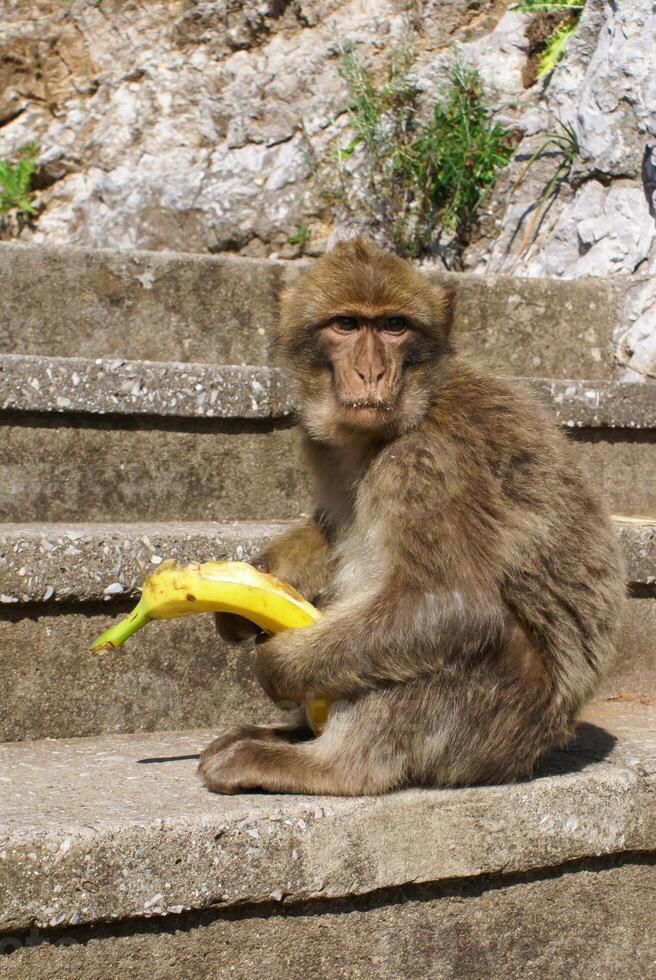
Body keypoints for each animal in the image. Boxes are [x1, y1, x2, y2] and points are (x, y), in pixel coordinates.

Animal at [199, 235, 624, 796]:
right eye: (347, 324)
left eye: (394, 326)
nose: (373, 372)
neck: (409, 413)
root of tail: (541, 747)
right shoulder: (327, 447)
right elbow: (334, 527)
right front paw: (257, 584)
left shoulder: (424, 464)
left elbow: (448, 606)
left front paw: (277, 661)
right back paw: (289, 734)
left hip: (494, 726)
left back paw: (327, 765)